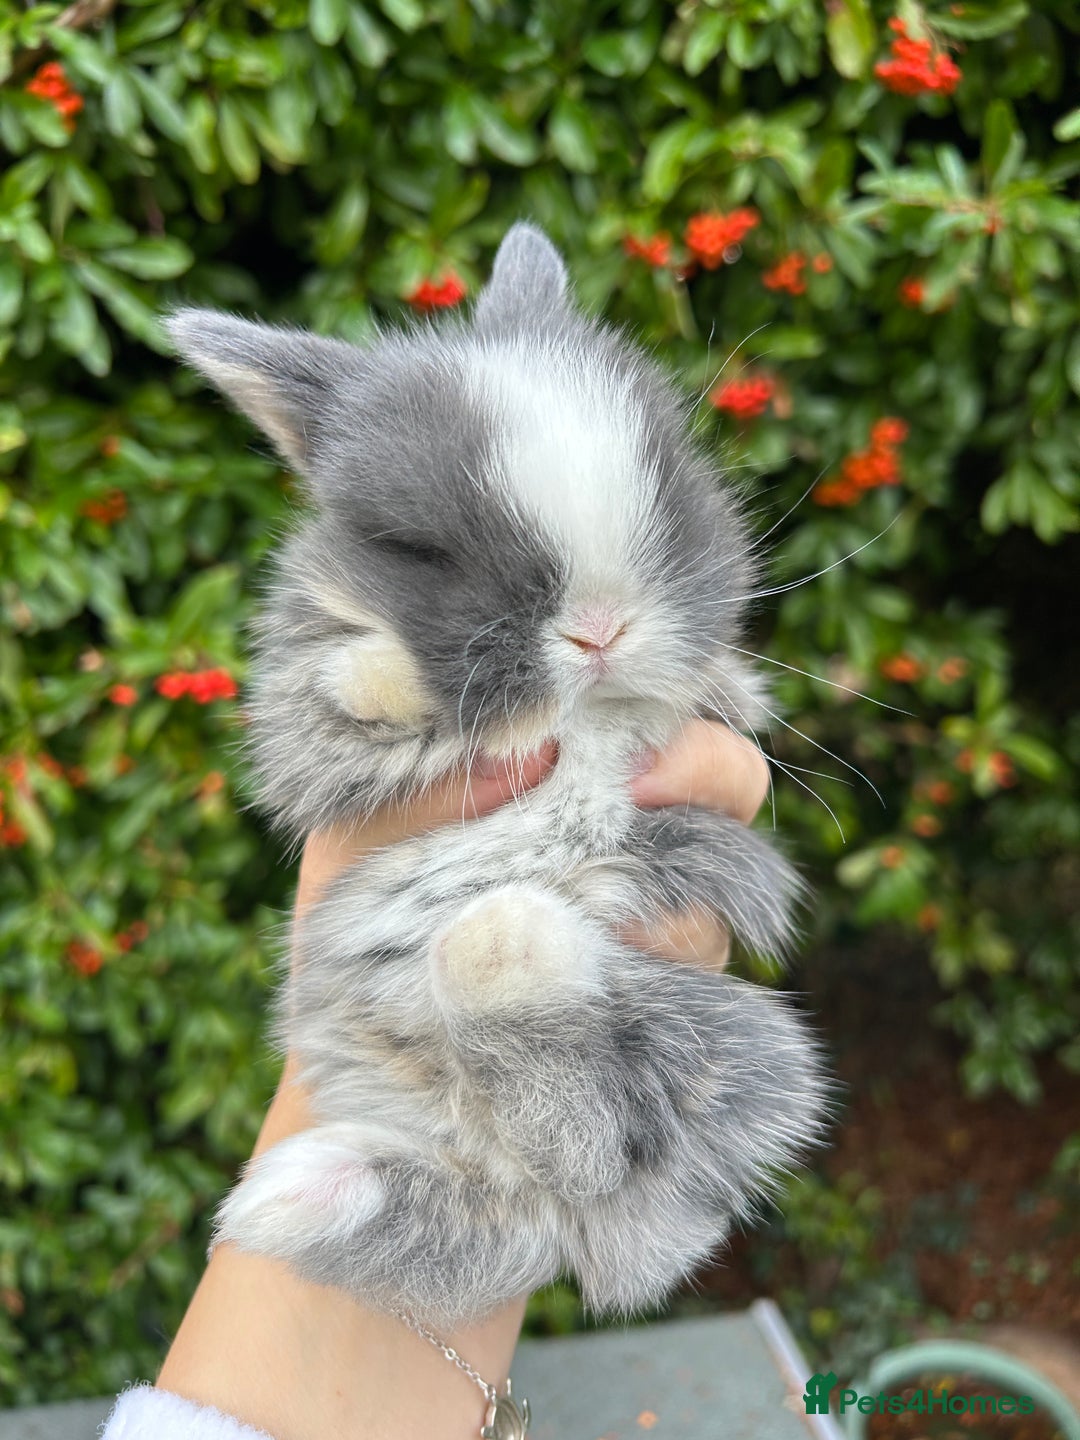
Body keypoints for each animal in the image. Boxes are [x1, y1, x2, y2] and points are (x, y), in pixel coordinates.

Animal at [165, 222, 828, 1330]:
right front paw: (378, 675)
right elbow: (330, 700)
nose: (600, 630)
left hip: (727, 1045)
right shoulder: (300, 736)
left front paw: (734, 691)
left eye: (672, 480)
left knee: (597, 1154)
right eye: (414, 547)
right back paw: (299, 1188)